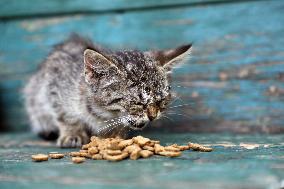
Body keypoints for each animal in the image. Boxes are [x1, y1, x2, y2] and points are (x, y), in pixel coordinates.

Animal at [23, 34, 191, 148]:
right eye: (136, 102)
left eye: (161, 100)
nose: (152, 117)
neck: (102, 114)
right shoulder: (54, 81)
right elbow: (65, 115)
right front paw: (72, 133)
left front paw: (114, 135)